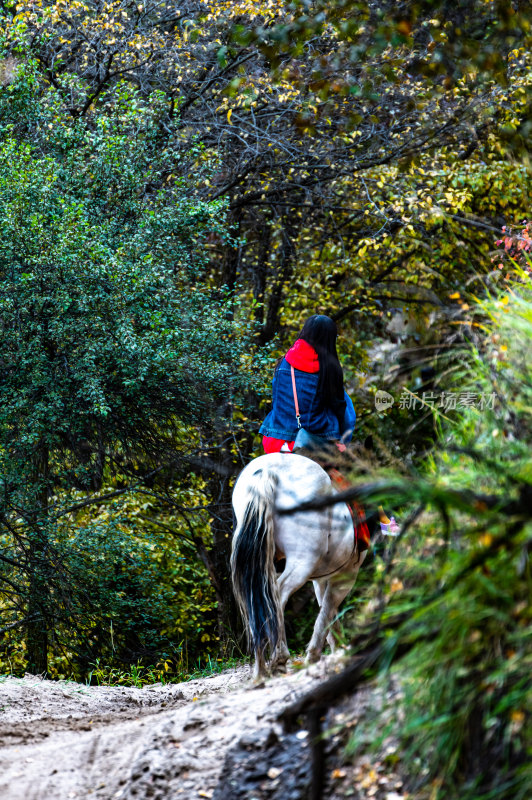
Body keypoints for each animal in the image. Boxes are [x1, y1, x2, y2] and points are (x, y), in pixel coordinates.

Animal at [231, 454, 368, 680]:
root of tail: (268, 469)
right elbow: (328, 609)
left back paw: (260, 669)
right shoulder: (347, 575)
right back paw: (279, 658)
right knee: (277, 594)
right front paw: (317, 655)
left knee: (256, 599)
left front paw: (337, 647)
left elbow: (326, 609)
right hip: (302, 563)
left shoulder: (321, 580)